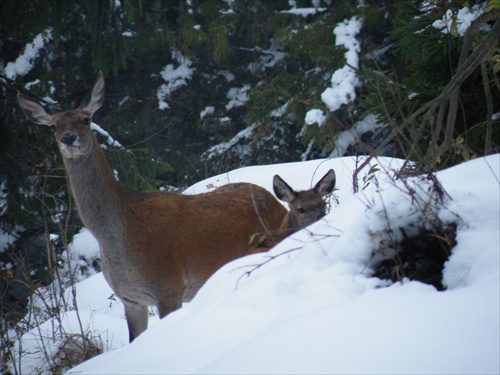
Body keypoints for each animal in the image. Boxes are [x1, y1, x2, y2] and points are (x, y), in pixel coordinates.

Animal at [17, 72, 288, 344]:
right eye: (53, 126)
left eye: (86, 119)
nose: (68, 138)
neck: (119, 235)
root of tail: (279, 205)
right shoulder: (131, 299)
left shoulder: (169, 286)